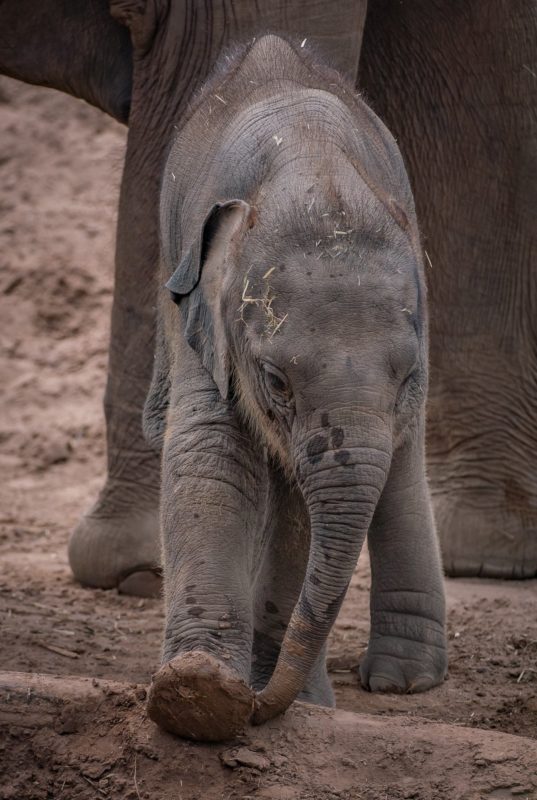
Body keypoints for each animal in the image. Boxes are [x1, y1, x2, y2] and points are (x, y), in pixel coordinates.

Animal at [144, 36, 446, 736]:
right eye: (276, 381)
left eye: (406, 375)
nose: (258, 710)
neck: (311, 165)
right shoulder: (206, 316)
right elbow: (210, 458)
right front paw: (196, 694)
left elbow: (305, 504)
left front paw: (285, 702)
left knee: (398, 464)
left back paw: (405, 681)